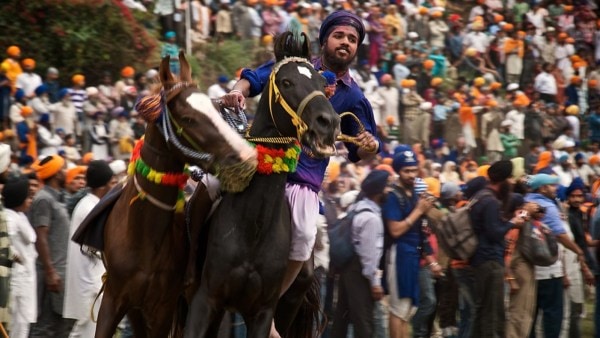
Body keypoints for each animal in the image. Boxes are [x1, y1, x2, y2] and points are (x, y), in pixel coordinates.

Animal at [92, 52, 256, 338]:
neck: (143, 235)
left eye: (214, 110)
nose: (245, 156)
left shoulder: (162, 306)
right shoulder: (115, 298)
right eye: (188, 118)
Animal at [184, 33, 338, 338]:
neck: (253, 226)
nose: (328, 122)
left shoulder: (262, 313)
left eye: (322, 84)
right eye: (286, 82)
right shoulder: (207, 298)